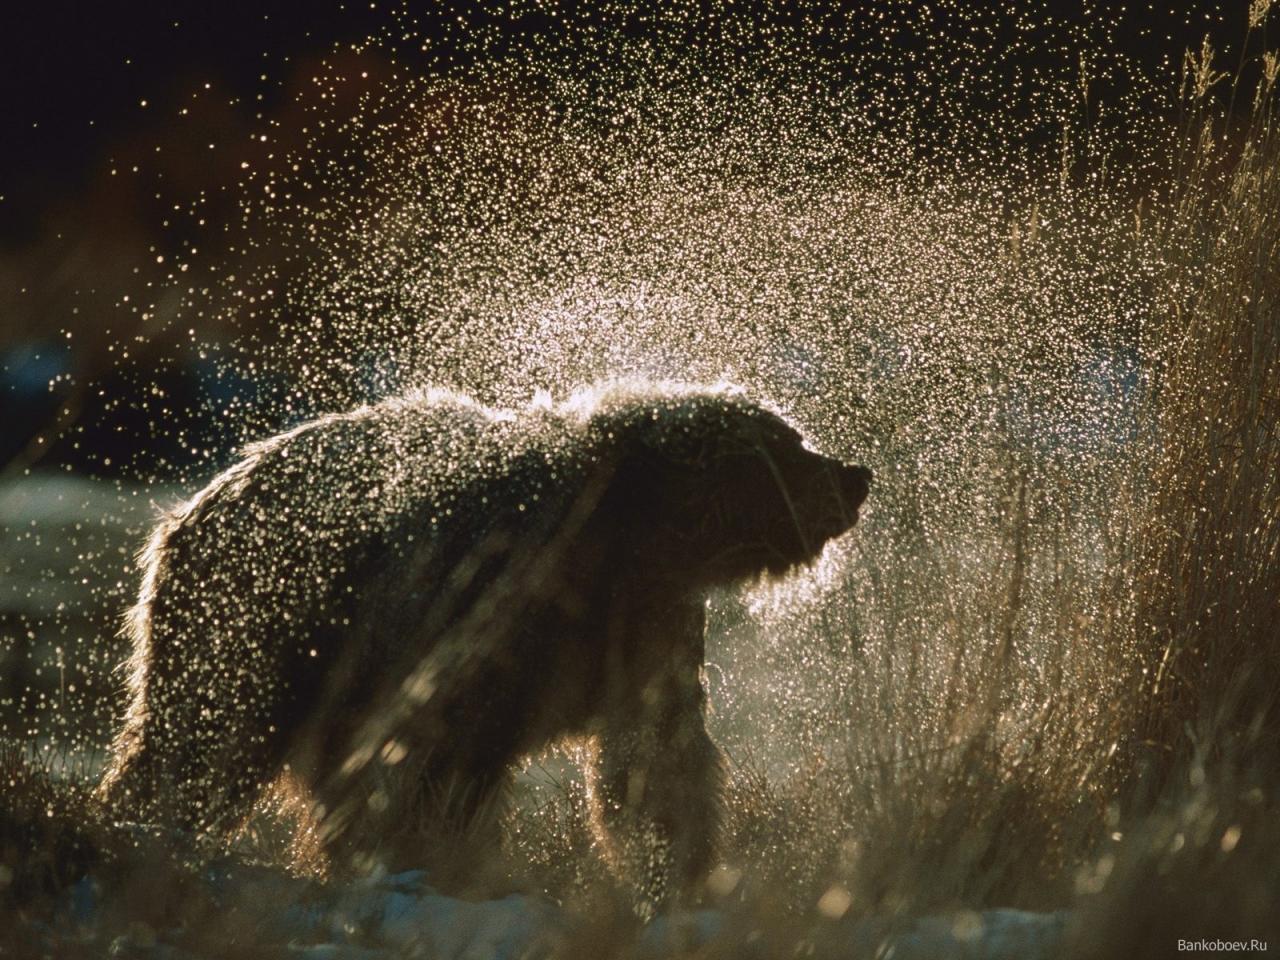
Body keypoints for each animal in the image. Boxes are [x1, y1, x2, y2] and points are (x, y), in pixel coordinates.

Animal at [97, 384, 870, 911]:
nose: (855, 475)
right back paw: (145, 829)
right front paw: (441, 862)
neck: (625, 538)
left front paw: (680, 874)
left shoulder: (648, 621)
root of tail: (185, 511)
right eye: (790, 444)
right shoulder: (484, 604)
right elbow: (442, 759)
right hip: (259, 620)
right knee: (202, 739)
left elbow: (656, 755)